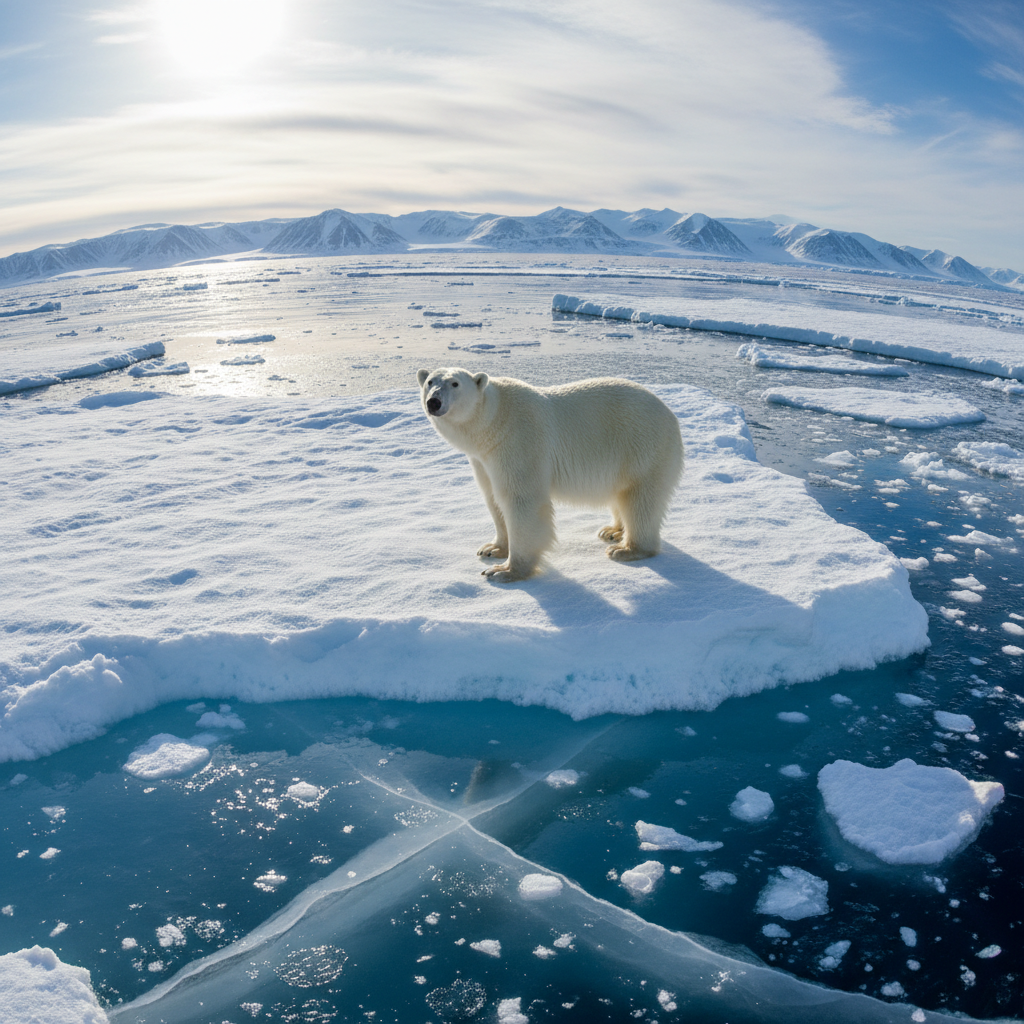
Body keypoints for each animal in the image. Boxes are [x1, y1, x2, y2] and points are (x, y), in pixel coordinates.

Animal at [417, 367, 684, 582]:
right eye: (429, 381)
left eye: (455, 383)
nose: (434, 402)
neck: (493, 420)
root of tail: (670, 415)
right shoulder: (483, 459)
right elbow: (493, 499)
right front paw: (492, 548)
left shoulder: (518, 440)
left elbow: (521, 500)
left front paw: (505, 571)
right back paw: (612, 531)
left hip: (643, 446)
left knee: (640, 499)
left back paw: (626, 549)